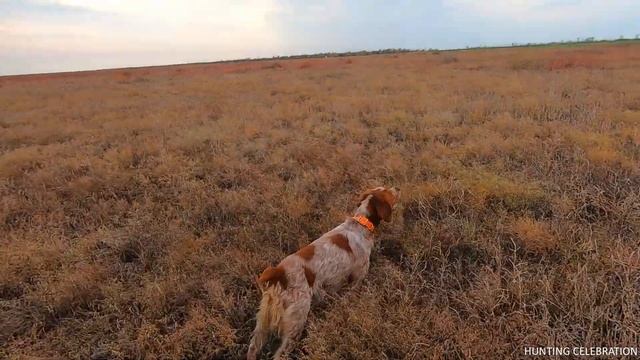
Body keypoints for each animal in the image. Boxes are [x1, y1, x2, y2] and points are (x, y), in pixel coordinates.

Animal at [246, 187, 400, 358]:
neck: (361, 224)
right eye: (388, 192)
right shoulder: (356, 280)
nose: (397, 189)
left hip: (263, 323)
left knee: (253, 348)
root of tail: (280, 272)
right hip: (296, 323)